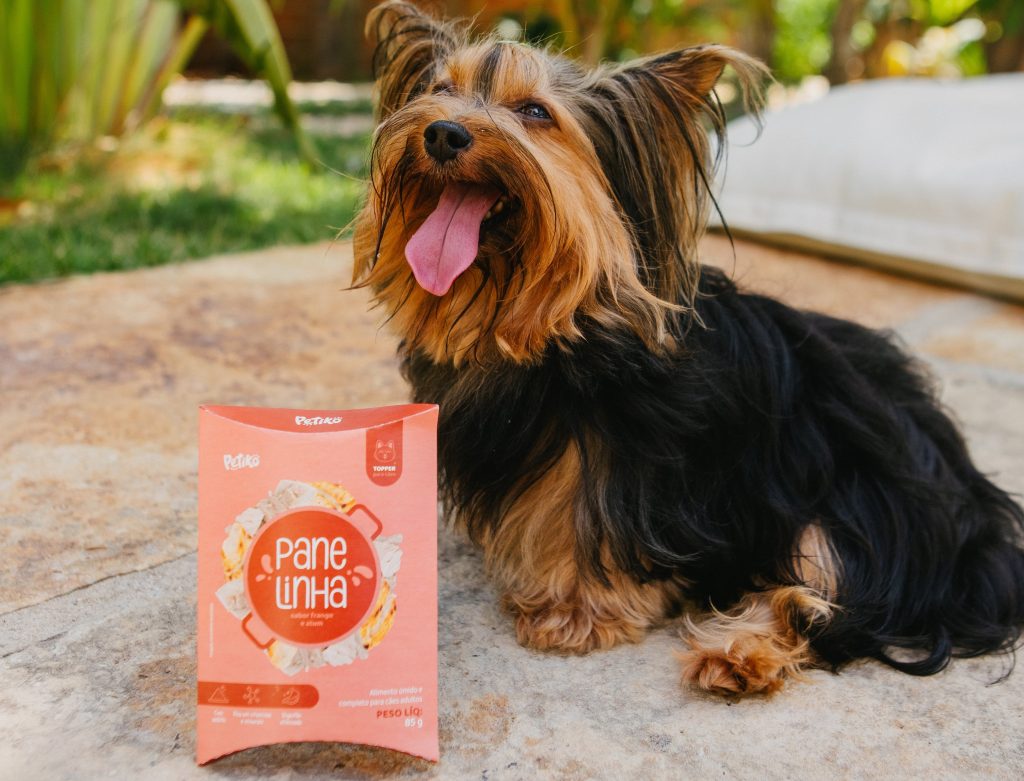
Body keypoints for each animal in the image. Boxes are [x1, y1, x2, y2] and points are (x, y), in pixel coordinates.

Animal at [352, 0, 1024, 696]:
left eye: (535, 112)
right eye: (437, 90)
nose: (443, 134)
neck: (549, 327)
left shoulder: (630, 458)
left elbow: (588, 519)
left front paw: (575, 610)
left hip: (868, 504)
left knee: (829, 594)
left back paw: (742, 651)